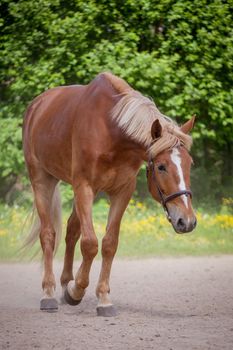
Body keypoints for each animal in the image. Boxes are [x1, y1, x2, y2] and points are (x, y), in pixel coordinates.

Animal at [22, 72, 197, 316]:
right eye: (161, 166)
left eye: (190, 164)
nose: (187, 221)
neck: (111, 131)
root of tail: (37, 106)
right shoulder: (84, 187)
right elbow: (90, 244)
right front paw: (77, 290)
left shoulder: (122, 191)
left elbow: (109, 244)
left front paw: (103, 298)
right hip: (42, 180)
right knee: (48, 234)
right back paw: (49, 293)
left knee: (71, 231)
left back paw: (66, 282)